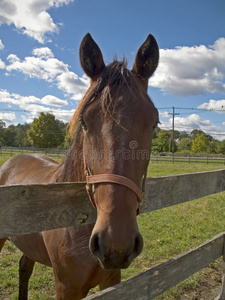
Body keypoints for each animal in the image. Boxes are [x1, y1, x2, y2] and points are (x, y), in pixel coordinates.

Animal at [0, 33, 159, 300]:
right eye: (84, 122)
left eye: (155, 123)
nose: (115, 242)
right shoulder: (67, 287)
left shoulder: (111, 281)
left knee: (24, 266)